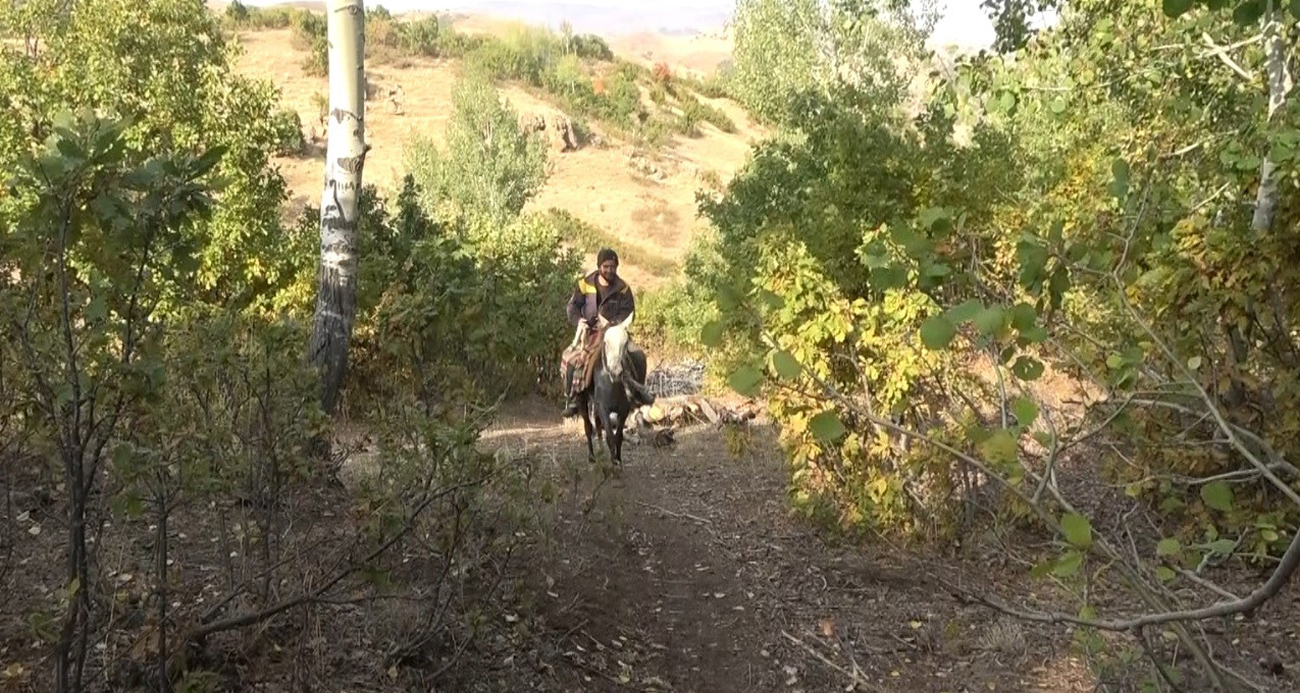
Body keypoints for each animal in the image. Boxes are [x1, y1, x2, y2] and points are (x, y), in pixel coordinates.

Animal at [574, 313, 644, 465]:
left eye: (625, 343)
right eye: (605, 342)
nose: (616, 371)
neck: (613, 385)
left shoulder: (623, 411)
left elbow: (618, 436)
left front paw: (618, 459)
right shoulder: (604, 409)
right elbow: (610, 437)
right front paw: (613, 462)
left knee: (597, 424)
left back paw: (601, 452)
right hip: (583, 402)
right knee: (588, 427)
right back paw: (592, 456)